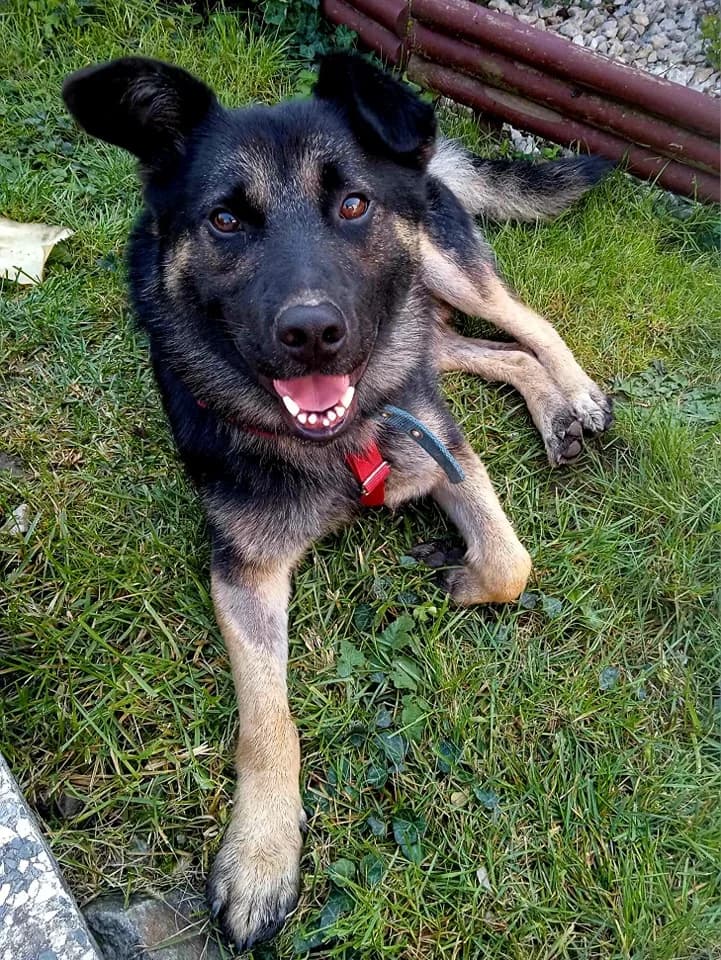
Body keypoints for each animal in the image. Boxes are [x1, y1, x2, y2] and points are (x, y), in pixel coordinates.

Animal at [62, 52, 613, 949]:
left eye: (353, 204)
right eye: (225, 220)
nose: (313, 333)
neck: (332, 442)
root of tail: (425, 157)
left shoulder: (443, 449)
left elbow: (509, 562)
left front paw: (457, 573)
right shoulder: (244, 571)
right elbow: (268, 724)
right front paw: (260, 855)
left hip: (439, 274)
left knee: (525, 320)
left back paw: (578, 395)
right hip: (419, 329)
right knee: (491, 352)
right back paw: (553, 409)